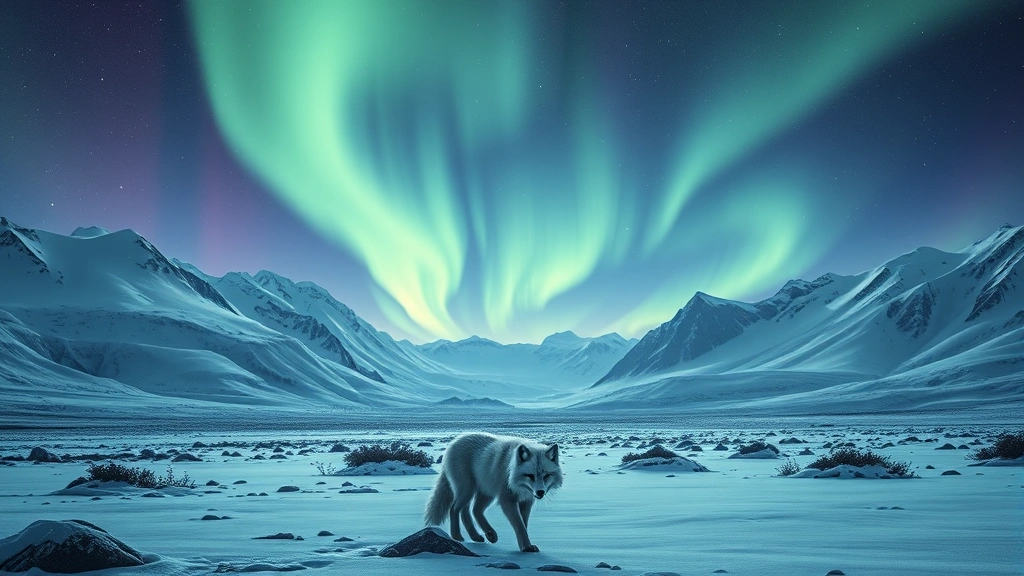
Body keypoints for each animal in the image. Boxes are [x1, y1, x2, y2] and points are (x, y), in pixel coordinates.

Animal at [424, 432, 563, 552]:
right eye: (530, 475)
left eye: (546, 475)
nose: (540, 492)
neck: (511, 469)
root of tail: (455, 441)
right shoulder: (507, 500)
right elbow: (519, 525)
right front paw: (526, 547)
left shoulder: (527, 501)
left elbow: (524, 524)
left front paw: (525, 545)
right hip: (468, 490)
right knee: (455, 508)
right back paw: (457, 536)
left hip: (485, 493)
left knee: (472, 510)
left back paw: (481, 535)